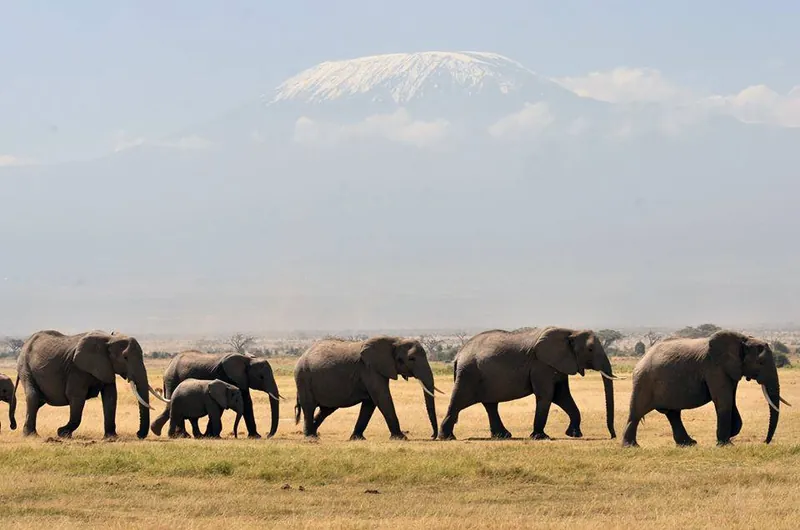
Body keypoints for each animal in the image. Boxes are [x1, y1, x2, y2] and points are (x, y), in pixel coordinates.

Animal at [16, 329, 167, 439]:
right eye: (125, 358)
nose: (138, 434)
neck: (109, 339)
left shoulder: (106, 366)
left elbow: (111, 397)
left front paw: (111, 437)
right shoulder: (77, 369)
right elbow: (76, 397)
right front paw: (62, 433)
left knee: (38, 401)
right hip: (25, 368)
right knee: (33, 397)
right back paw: (31, 436)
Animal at [151, 351, 280, 439]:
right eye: (261, 377)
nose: (268, 435)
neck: (247, 359)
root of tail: (169, 365)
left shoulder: (241, 379)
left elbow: (247, 402)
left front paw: (255, 436)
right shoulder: (225, 376)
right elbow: (220, 408)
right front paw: (210, 435)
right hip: (172, 379)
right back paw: (182, 435)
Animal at [294, 336, 442, 440]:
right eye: (411, 359)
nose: (432, 436)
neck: (395, 340)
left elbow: (370, 403)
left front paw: (357, 438)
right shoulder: (370, 369)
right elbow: (382, 398)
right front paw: (401, 438)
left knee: (326, 410)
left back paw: (313, 434)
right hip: (303, 377)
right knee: (309, 407)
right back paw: (310, 437)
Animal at [438, 326, 619, 441]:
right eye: (590, 350)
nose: (612, 436)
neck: (571, 331)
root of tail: (458, 354)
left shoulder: (558, 364)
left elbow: (562, 396)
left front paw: (574, 434)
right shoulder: (541, 365)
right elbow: (547, 395)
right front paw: (541, 437)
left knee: (490, 405)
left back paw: (503, 436)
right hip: (469, 374)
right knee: (458, 401)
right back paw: (447, 437)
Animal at [622, 330, 791, 447]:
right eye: (761, 363)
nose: (765, 442)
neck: (742, 339)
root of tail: (641, 359)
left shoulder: (730, 370)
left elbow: (731, 399)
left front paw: (730, 435)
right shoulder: (714, 368)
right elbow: (723, 401)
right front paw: (725, 444)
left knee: (673, 414)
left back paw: (688, 443)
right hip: (644, 382)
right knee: (637, 413)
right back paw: (631, 446)